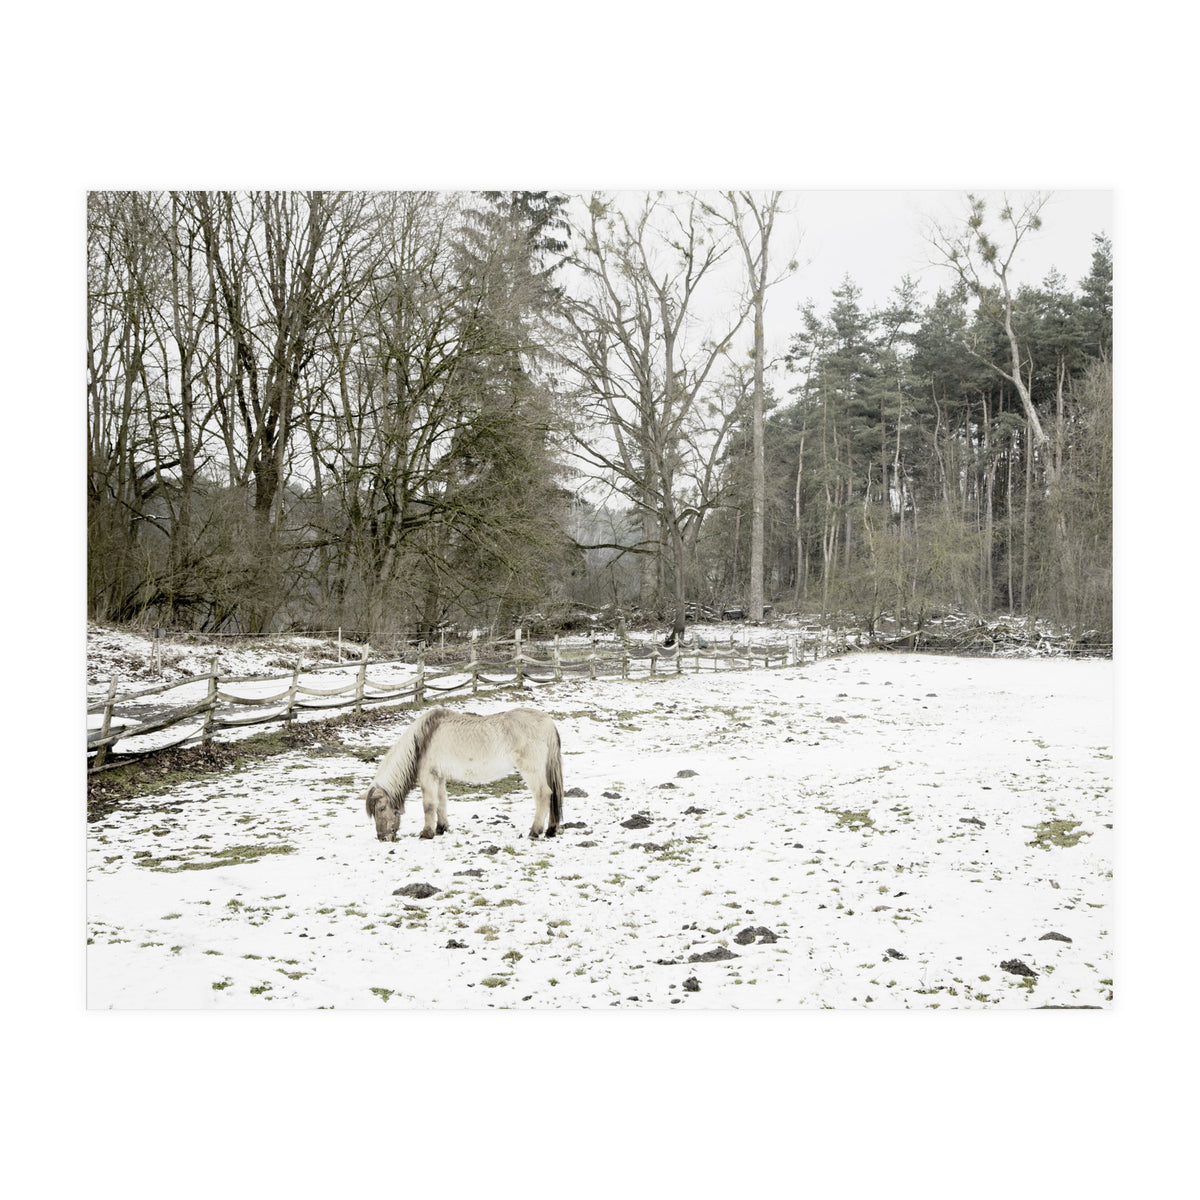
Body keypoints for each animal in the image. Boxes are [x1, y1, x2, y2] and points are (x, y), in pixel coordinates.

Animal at [363, 706, 564, 842]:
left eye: (381, 808)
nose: (382, 837)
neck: (424, 737)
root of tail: (548, 722)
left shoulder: (428, 776)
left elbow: (429, 805)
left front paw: (426, 833)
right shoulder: (439, 777)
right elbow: (441, 803)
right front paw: (441, 828)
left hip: (532, 770)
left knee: (543, 794)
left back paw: (534, 831)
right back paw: (550, 830)